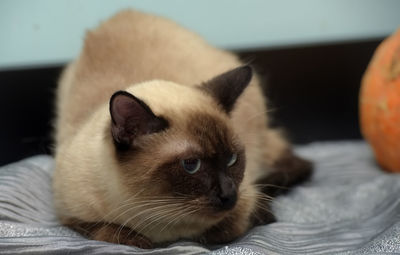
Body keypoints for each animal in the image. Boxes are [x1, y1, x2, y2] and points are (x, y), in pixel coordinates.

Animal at [51, 9, 310, 249]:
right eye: (191, 165)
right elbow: (114, 234)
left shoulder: (244, 198)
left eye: (232, 159)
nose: (229, 195)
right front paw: (142, 240)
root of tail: (126, 13)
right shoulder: (72, 217)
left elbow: (230, 225)